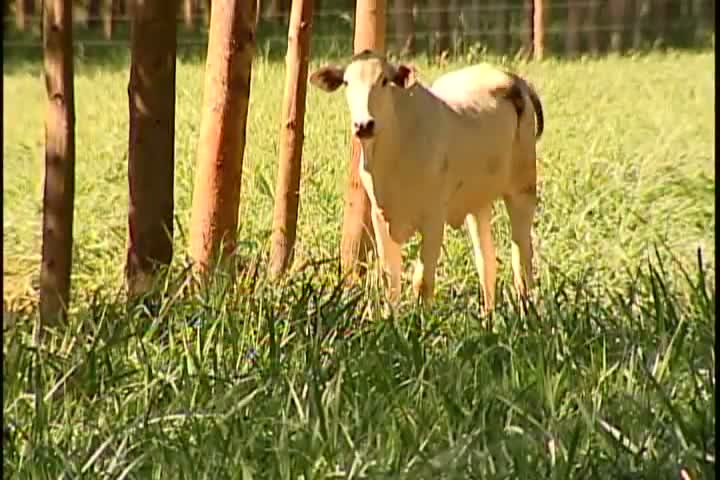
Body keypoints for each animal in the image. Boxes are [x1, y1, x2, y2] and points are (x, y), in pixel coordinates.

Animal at [306, 49, 544, 312]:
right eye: (347, 82)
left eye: (384, 80)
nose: (364, 125)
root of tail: (515, 80)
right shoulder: (380, 216)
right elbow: (390, 278)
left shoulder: (433, 218)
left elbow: (422, 282)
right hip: (478, 203)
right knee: (487, 262)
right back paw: (487, 316)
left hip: (522, 190)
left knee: (522, 260)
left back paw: (527, 311)